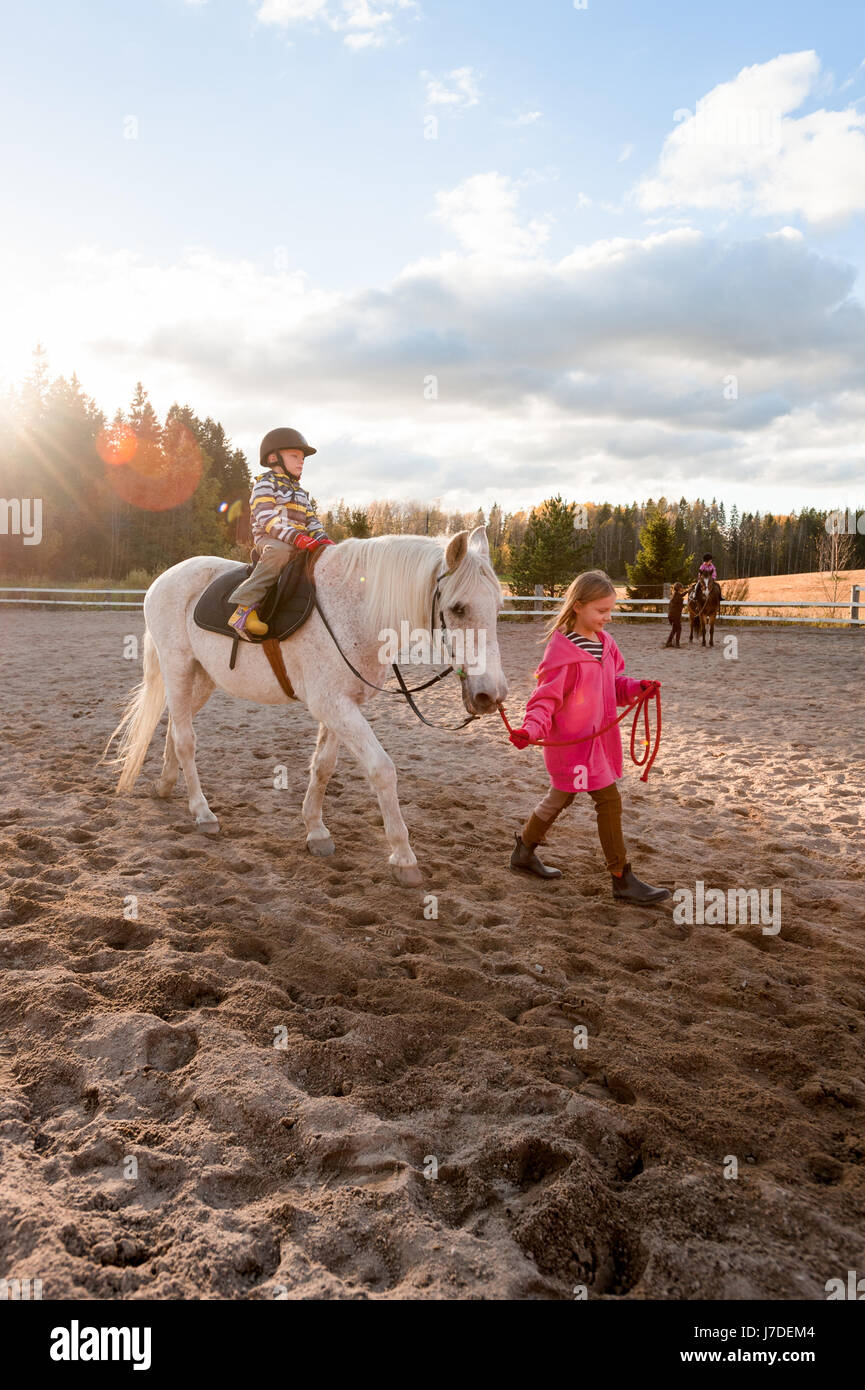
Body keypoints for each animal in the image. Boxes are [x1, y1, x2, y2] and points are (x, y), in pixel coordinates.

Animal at [103, 525, 508, 884]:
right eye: (458, 608)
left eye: (498, 607)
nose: (492, 695)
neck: (357, 611)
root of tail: (164, 579)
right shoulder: (334, 705)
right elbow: (382, 769)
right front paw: (403, 856)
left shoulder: (342, 704)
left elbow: (323, 767)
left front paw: (316, 831)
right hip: (178, 668)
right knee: (186, 739)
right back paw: (202, 812)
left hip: (200, 679)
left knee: (175, 726)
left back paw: (166, 784)